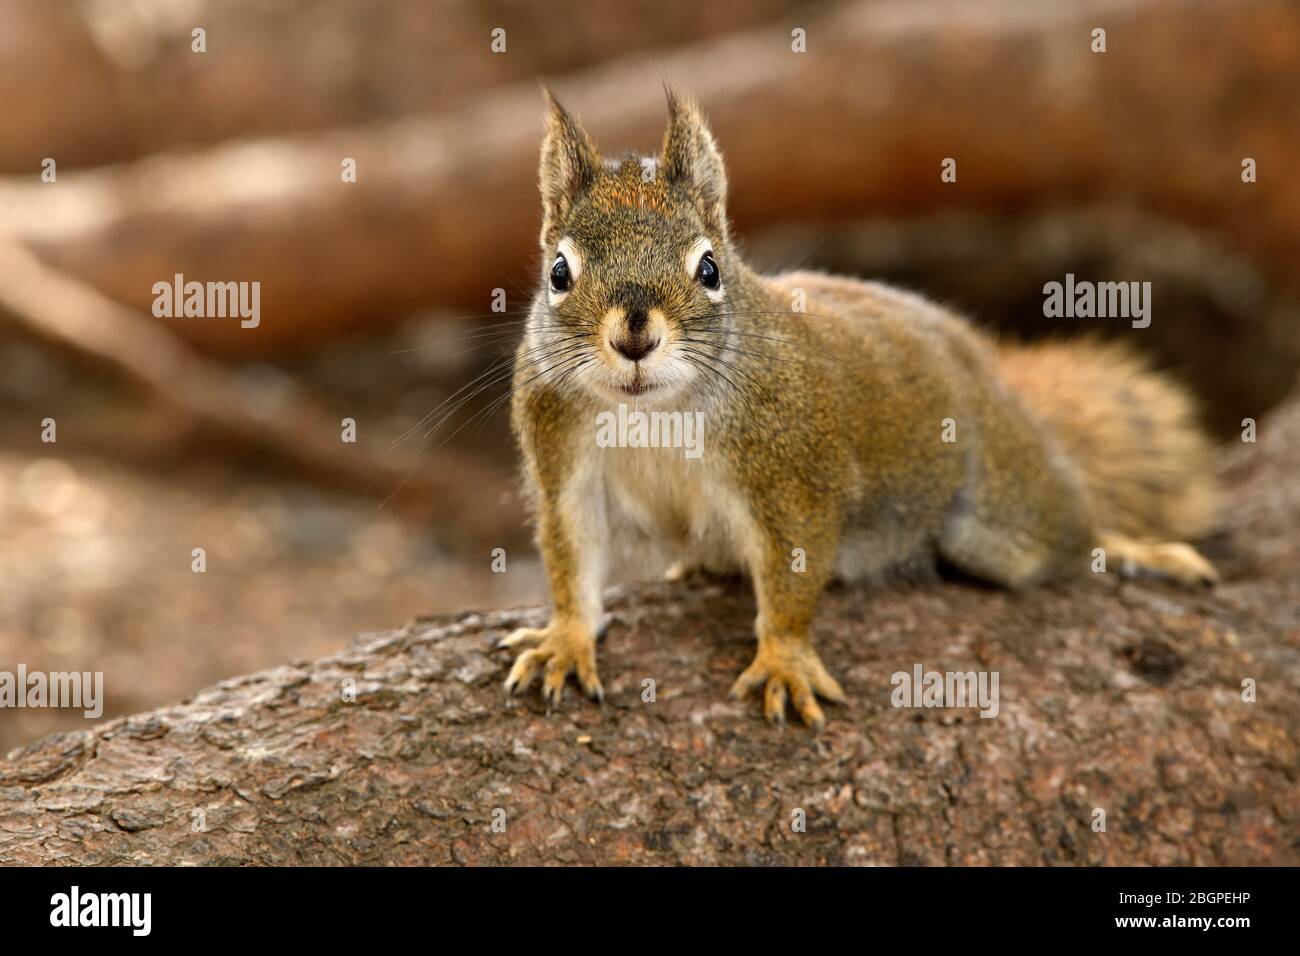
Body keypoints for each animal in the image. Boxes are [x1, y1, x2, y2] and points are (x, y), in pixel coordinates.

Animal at [499, 91, 1216, 733]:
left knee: (1065, 533)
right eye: (559, 273)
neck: (654, 408)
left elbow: (793, 577)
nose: (634, 337)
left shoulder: (795, 472)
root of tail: (979, 361)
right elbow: (572, 556)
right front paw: (564, 640)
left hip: (999, 513)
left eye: (708, 268)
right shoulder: (562, 459)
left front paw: (785, 660)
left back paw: (1133, 548)